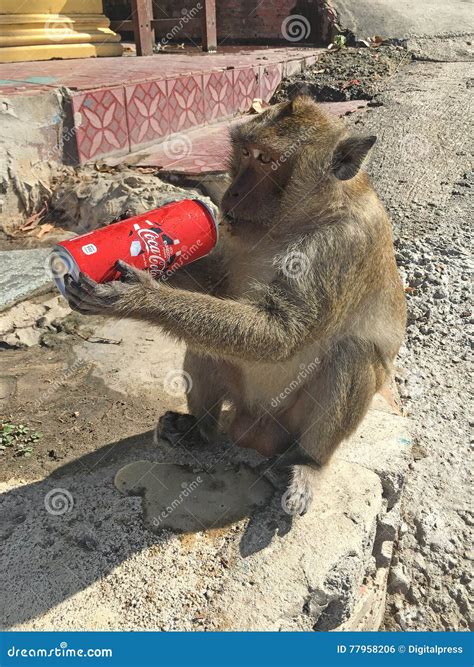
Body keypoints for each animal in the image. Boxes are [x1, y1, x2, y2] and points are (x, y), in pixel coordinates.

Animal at [65, 96, 408, 516]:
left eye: (266, 160)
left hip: (290, 422)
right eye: (245, 153)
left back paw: (309, 463)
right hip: (240, 397)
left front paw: (140, 296)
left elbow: (282, 334)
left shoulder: (341, 245)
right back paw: (200, 429)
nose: (233, 193)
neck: (298, 220)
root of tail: (253, 428)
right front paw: (143, 238)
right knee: (205, 343)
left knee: (354, 354)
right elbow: (220, 287)